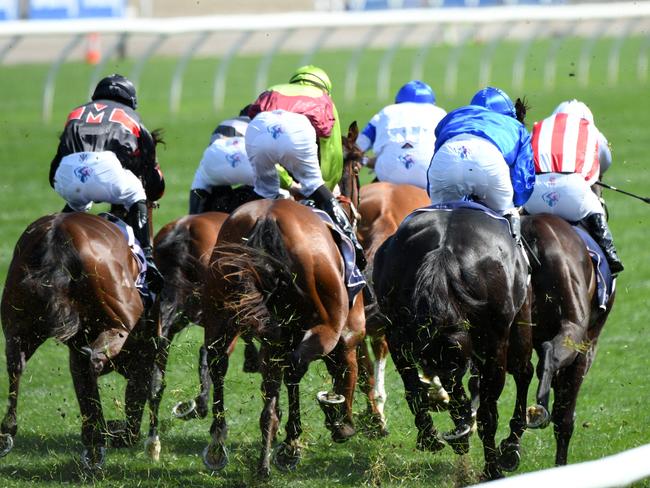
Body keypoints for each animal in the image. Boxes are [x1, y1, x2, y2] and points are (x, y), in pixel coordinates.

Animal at [0, 212, 156, 470]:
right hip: (121, 321)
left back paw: (7, 433)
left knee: (16, 365)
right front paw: (116, 433)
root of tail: (56, 236)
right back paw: (99, 438)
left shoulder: (76, 349)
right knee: (95, 359)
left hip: (18, 325)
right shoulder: (143, 354)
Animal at [200, 122, 368, 476]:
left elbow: (272, 381)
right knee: (294, 367)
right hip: (325, 324)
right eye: (359, 166)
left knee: (220, 363)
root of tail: (266, 220)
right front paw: (339, 423)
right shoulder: (350, 330)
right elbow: (345, 370)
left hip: (220, 314)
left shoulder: (275, 334)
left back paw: (222, 444)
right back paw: (292, 441)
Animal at [372, 205, 536, 480]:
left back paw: (443, 434)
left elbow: (423, 387)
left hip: (408, 335)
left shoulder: (403, 338)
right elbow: (498, 397)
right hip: (504, 334)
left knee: (423, 387)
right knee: (517, 376)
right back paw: (498, 456)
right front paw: (502, 456)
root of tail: (443, 250)